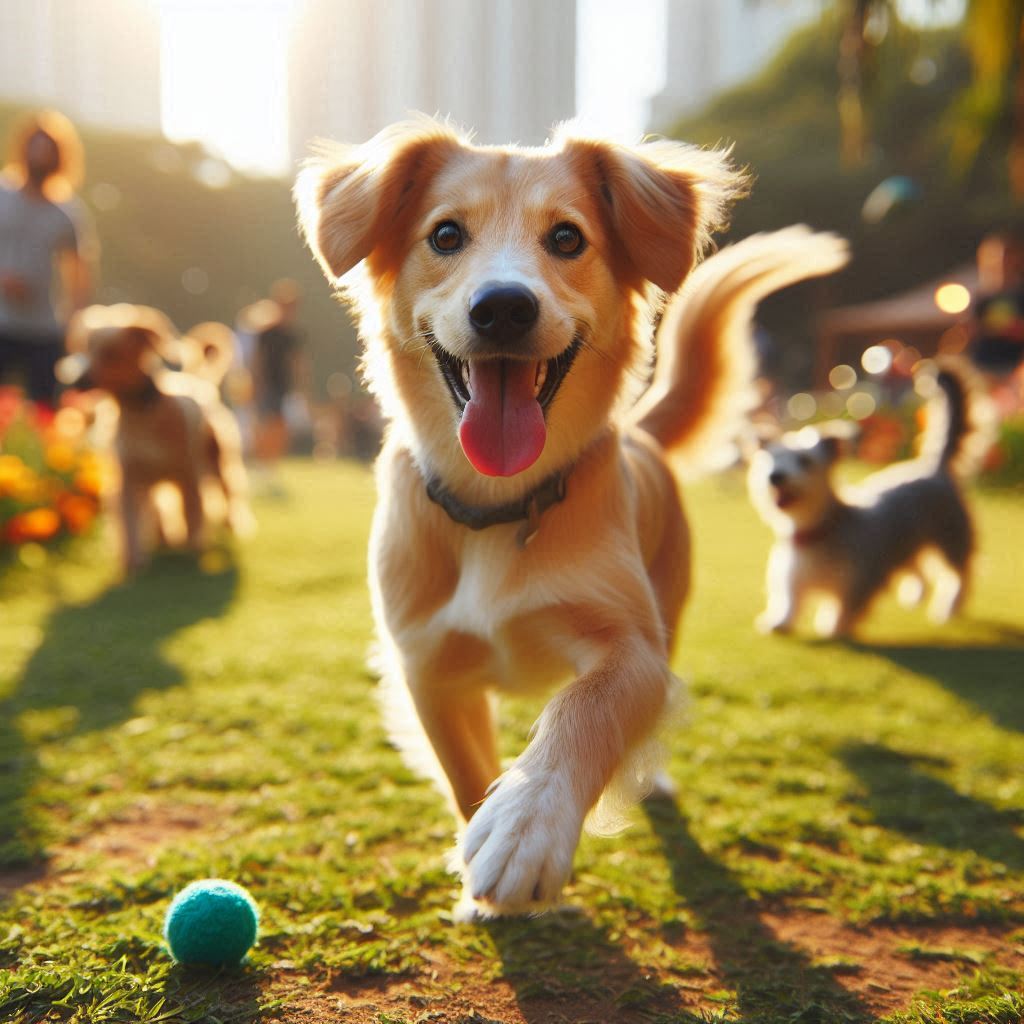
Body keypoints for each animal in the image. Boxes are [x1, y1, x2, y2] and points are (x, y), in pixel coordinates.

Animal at [58, 303, 252, 577]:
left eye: (112, 353)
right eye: (85, 348)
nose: (76, 382)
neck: (141, 413)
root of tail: (200, 381)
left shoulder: (188, 476)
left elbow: (194, 515)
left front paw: (193, 553)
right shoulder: (127, 479)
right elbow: (129, 523)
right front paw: (132, 564)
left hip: (219, 461)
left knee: (229, 493)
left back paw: (231, 525)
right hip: (153, 481)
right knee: (157, 510)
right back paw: (164, 539)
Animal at [292, 119, 843, 921]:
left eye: (566, 237)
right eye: (446, 234)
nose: (502, 307)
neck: (498, 506)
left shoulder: (632, 647)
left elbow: (586, 711)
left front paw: (528, 818)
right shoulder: (428, 665)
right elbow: (465, 774)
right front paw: (482, 860)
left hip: (669, 602)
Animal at [745, 356, 991, 634]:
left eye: (804, 461)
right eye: (772, 460)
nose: (776, 476)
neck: (819, 531)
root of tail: (933, 467)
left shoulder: (858, 582)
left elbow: (844, 609)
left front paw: (832, 628)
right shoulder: (791, 579)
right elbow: (788, 601)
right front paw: (780, 621)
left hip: (952, 540)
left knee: (959, 576)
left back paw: (949, 607)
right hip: (909, 541)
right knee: (918, 568)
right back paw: (915, 594)